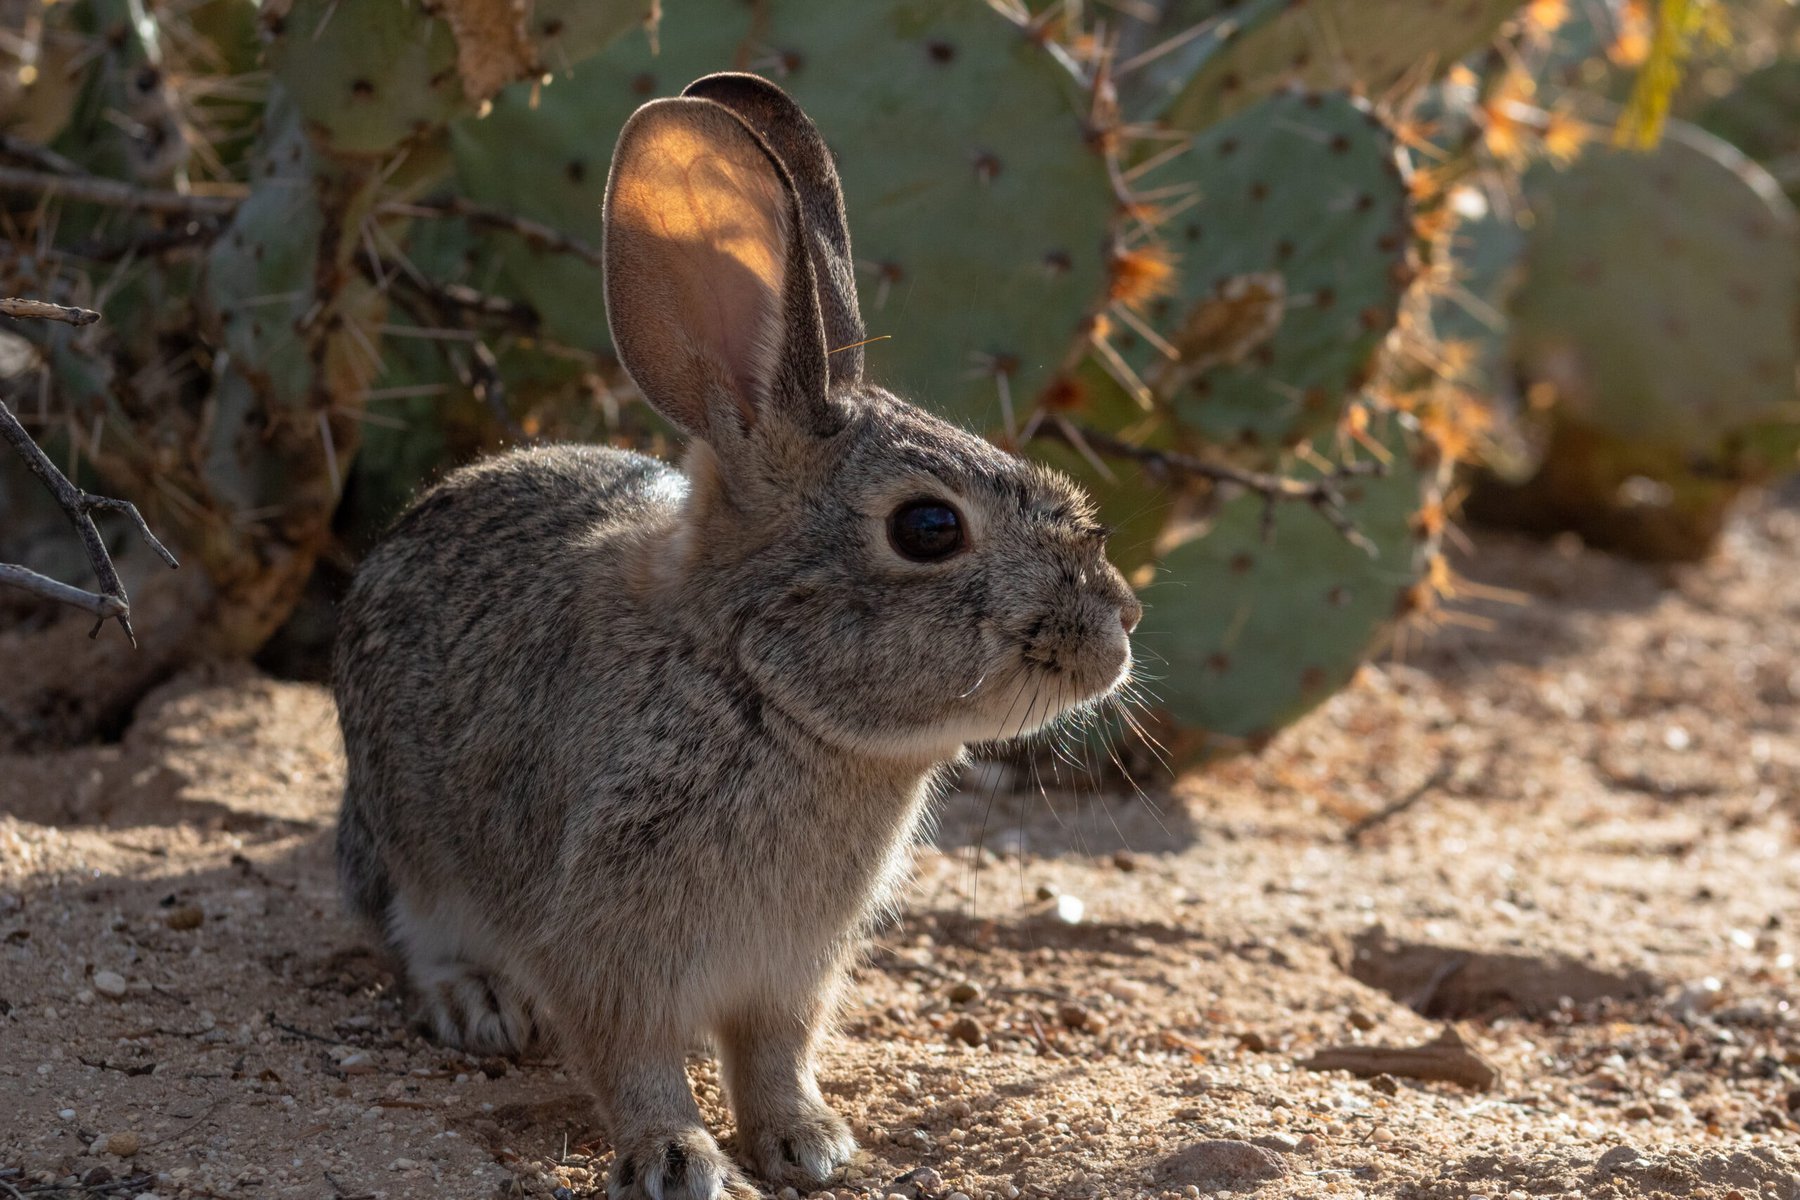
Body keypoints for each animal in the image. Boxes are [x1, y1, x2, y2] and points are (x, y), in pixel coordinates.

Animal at [332, 72, 1142, 1200]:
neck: (752, 682)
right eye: (928, 528)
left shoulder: (789, 972)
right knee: (412, 926)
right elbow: (634, 1063)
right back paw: (480, 1004)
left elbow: (773, 1055)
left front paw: (808, 1142)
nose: (1118, 629)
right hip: (407, 839)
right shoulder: (606, 947)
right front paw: (674, 1159)